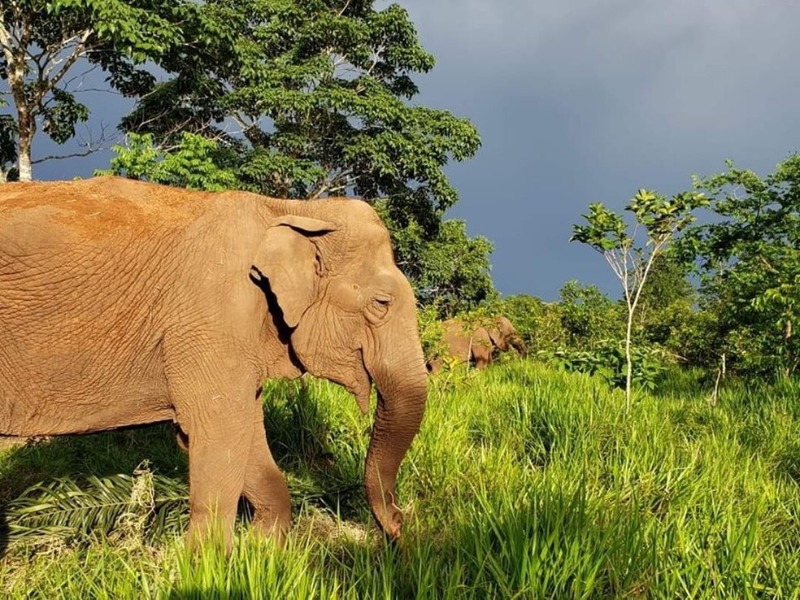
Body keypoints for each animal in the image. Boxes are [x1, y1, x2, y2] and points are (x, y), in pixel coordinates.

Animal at [0, 176, 428, 548]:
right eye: (381, 303)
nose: (398, 526)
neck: (289, 209)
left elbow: (247, 429)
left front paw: (261, 554)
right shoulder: (215, 315)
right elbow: (221, 431)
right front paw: (207, 570)